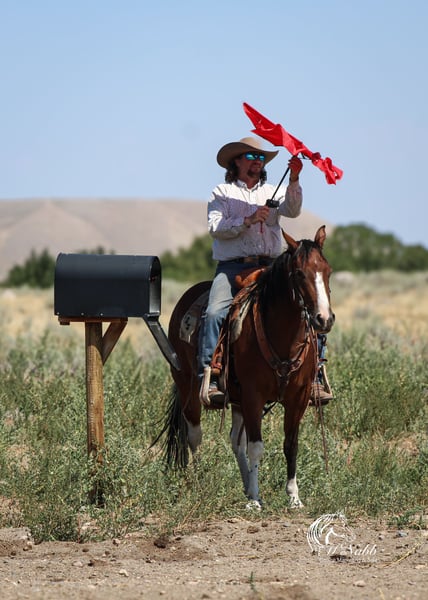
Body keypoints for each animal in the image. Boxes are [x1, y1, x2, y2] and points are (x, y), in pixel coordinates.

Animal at [157, 226, 335, 509]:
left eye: (328, 271)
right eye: (299, 272)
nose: (324, 319)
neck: (282, 337)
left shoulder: (298, 397)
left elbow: (290, 444)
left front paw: (293, 497)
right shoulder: (254, 395)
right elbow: (256, 446)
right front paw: (255, 501)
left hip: (237, 399)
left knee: (235, 441)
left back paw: (246, 486)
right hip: (187, 385)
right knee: (195, 433)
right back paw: (199, 481)